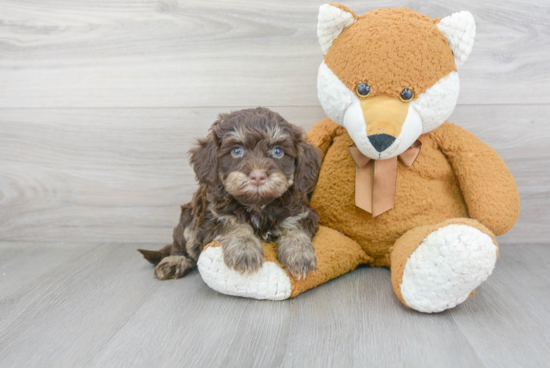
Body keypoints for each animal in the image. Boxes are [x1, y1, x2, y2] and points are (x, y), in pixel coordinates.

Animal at [138, 108, 326, 280]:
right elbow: (234, 224)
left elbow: (295, 228)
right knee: (182, 244)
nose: (258, 176)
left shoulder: (301, 212)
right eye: (237, 151)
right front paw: (245, 250)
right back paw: (175, 261)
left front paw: (299, 254)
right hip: (188, 218)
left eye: (277, 151)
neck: (258, 205)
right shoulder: (212, 216)